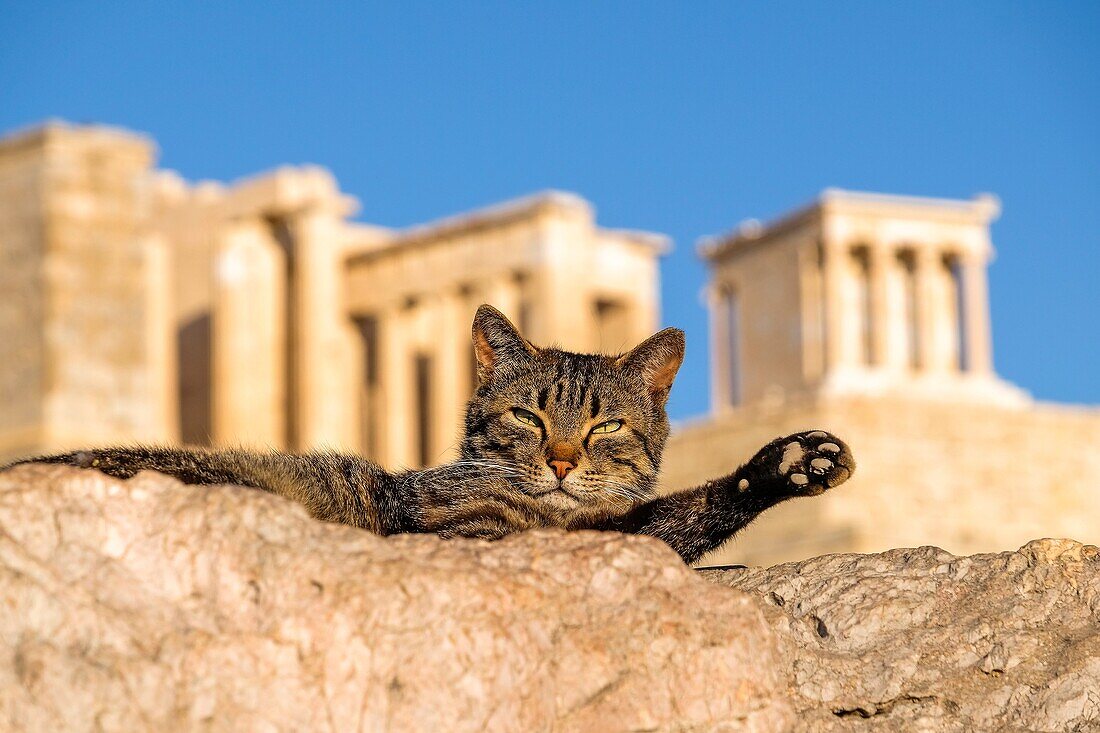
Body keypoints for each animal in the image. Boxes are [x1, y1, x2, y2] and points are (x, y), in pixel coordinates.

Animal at [4, 305, 853, 561]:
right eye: (528, 416)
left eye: (607, 424)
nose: (562, 459)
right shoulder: (474, 538)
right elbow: (649, 528)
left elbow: (669, 515)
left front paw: (786, 463)